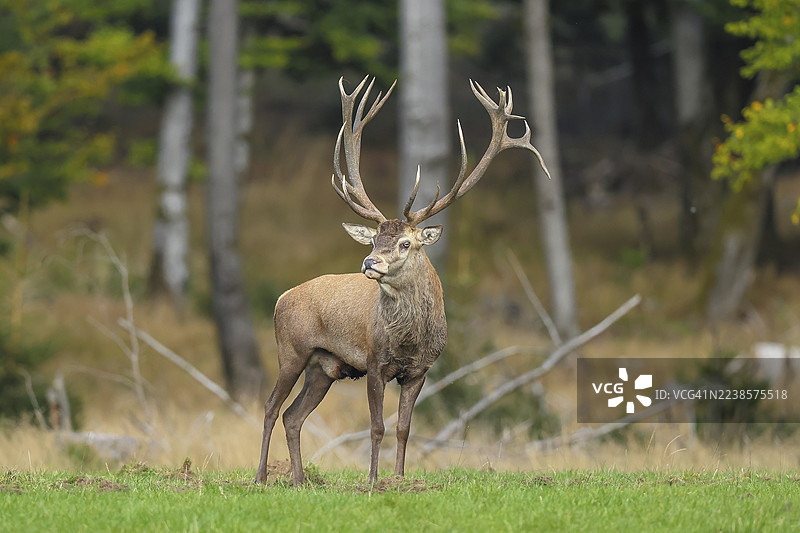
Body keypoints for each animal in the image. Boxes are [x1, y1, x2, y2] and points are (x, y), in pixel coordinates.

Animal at [254, 75, 549, 485]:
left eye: (406, 242)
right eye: (374, 239)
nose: (369, 262)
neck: (409, 340)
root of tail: (282, 297)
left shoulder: (420, 371)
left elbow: (404, 428)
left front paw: (399, 478)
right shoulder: (374, 362)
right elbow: (376, 426)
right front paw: (373, 480)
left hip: (324, 367)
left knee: (292, 416)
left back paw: (299, 480)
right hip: (291, 351)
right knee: (269, 407)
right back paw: (260, 477)